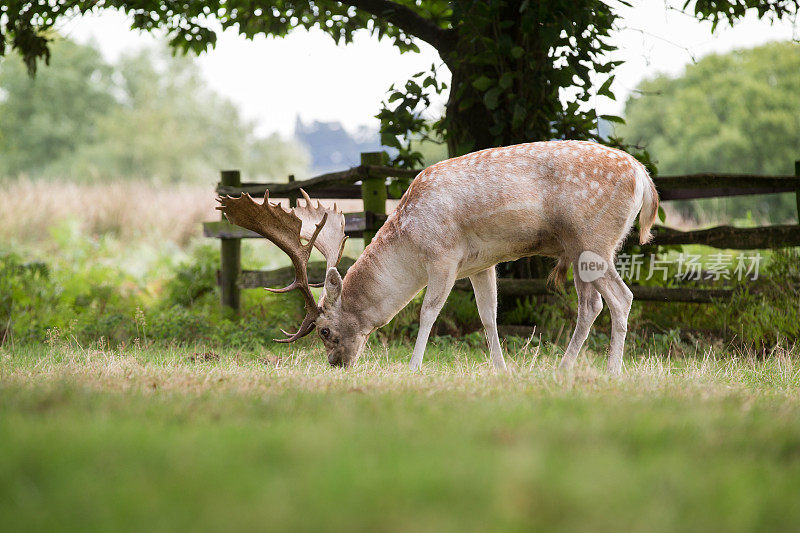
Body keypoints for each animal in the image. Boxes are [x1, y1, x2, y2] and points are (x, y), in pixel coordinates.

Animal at [217, 141, 656, 374]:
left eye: (324, 331)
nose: (336, 363)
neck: (409, 241)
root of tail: (643, 176)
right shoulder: (482, 263)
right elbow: (488, 316)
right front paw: (502, 370)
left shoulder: (444, 256)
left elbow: (428, 312)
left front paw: (413, 368)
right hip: (580, 249)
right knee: (591, 303)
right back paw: (564, 369)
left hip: (592, 239)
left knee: (621, 297)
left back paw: (612, 372)